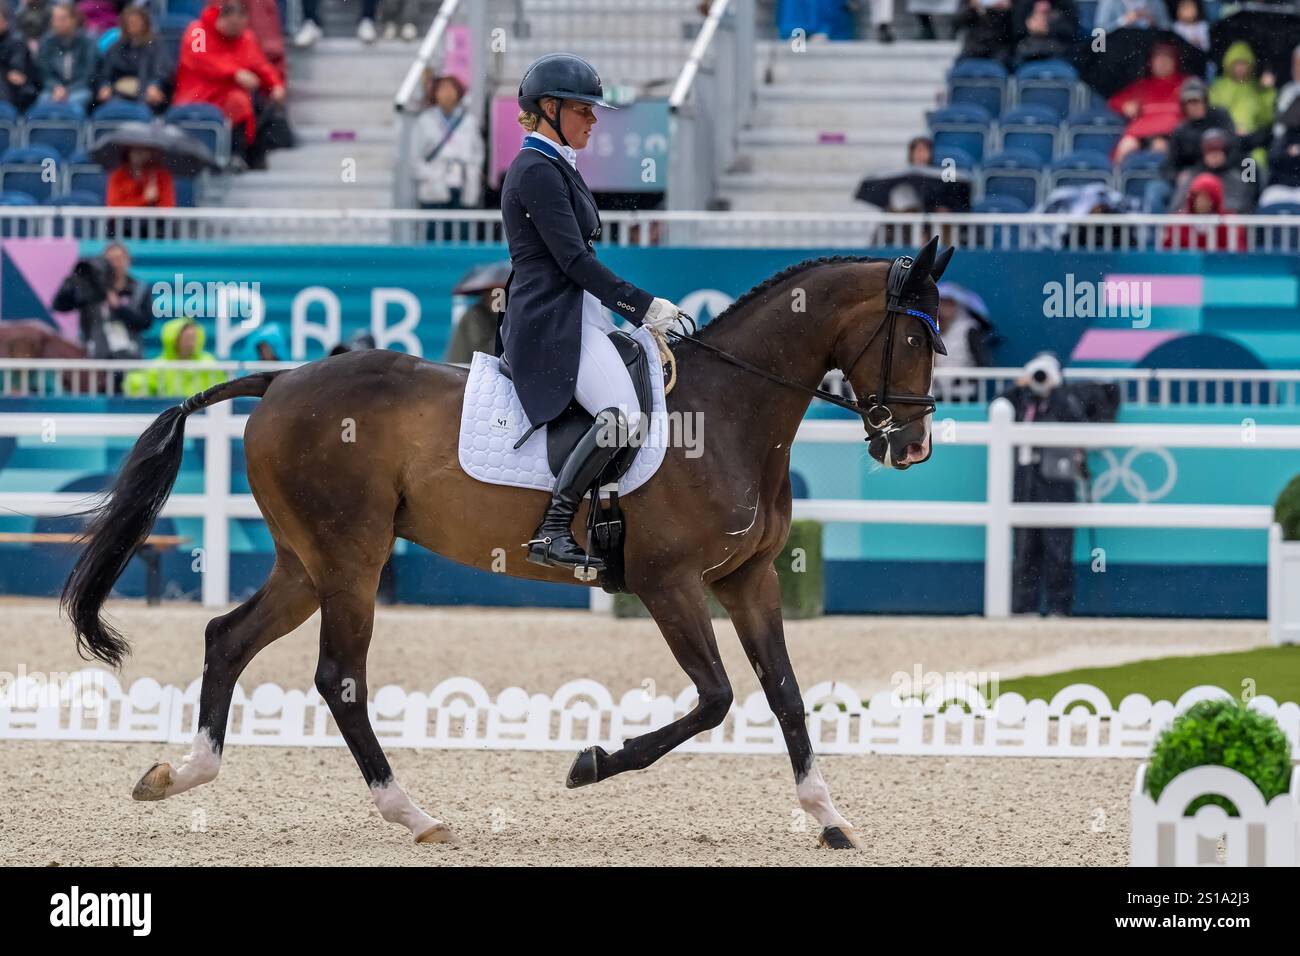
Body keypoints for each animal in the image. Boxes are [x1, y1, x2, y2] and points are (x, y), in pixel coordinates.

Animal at [61, 235, 951, 848]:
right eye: (911, 339)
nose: (910, 449)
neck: (731, 412)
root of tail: (280, 379)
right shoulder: (668, 583)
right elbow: (716, 699)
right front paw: (590, 764)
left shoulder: (751, 581)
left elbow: (787, 697)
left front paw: (828, 818)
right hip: (350, 560)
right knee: (338, 677)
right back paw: (412, 813)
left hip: (307, 565)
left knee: (228, 638)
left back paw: (180, 773)